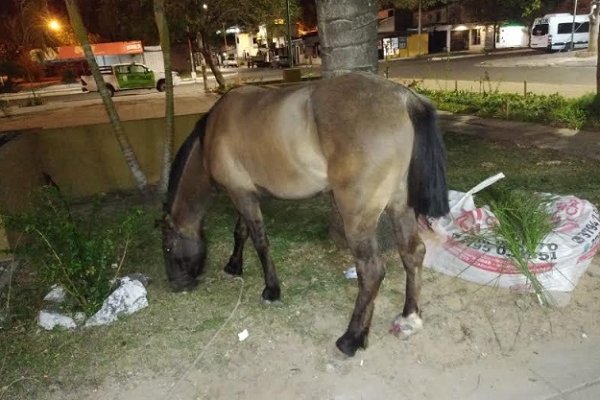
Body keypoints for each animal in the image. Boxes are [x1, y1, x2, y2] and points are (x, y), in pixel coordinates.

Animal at [162, 72, 448, 356]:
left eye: (167, 248)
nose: (176, 284)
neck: (212, 132)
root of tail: (403, 98)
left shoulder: (240, 194)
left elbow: (260, 241)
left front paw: (271, 289)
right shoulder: (245, 193)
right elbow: (241, 231)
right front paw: (234, 265)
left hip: (358, 217)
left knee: (371, 271)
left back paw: (351, 339)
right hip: (400, 205)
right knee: (412, 253)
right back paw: (410, 316)